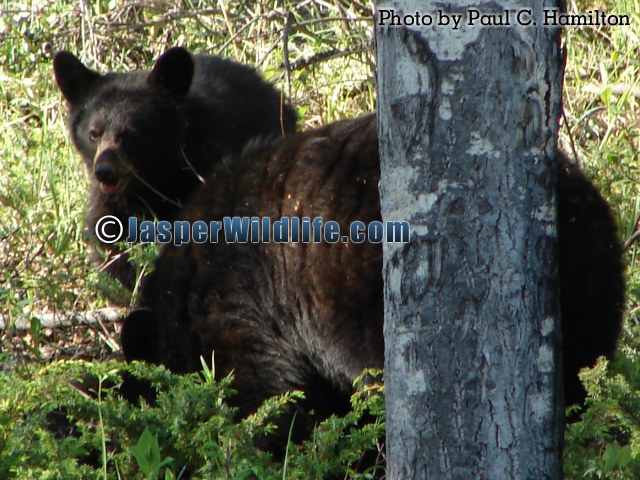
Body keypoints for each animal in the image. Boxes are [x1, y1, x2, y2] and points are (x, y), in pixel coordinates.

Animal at [53, 47, 297, 289]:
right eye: (94, 134)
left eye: (130, 133)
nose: (104, 171)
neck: (155, 180)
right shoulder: (111, 204)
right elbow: (111, 243)